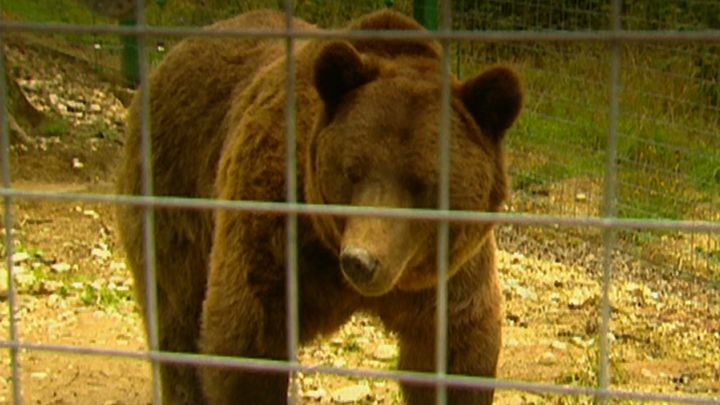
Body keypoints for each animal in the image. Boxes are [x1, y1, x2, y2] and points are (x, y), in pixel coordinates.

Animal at [115, 8, 523, 405]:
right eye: (352, 171)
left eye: (423, 184)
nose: (361, 260)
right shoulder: (274, 225)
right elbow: (246, 342)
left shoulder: (448, 269)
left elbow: (458, 352)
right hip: (174, 187)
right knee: (176, 314)